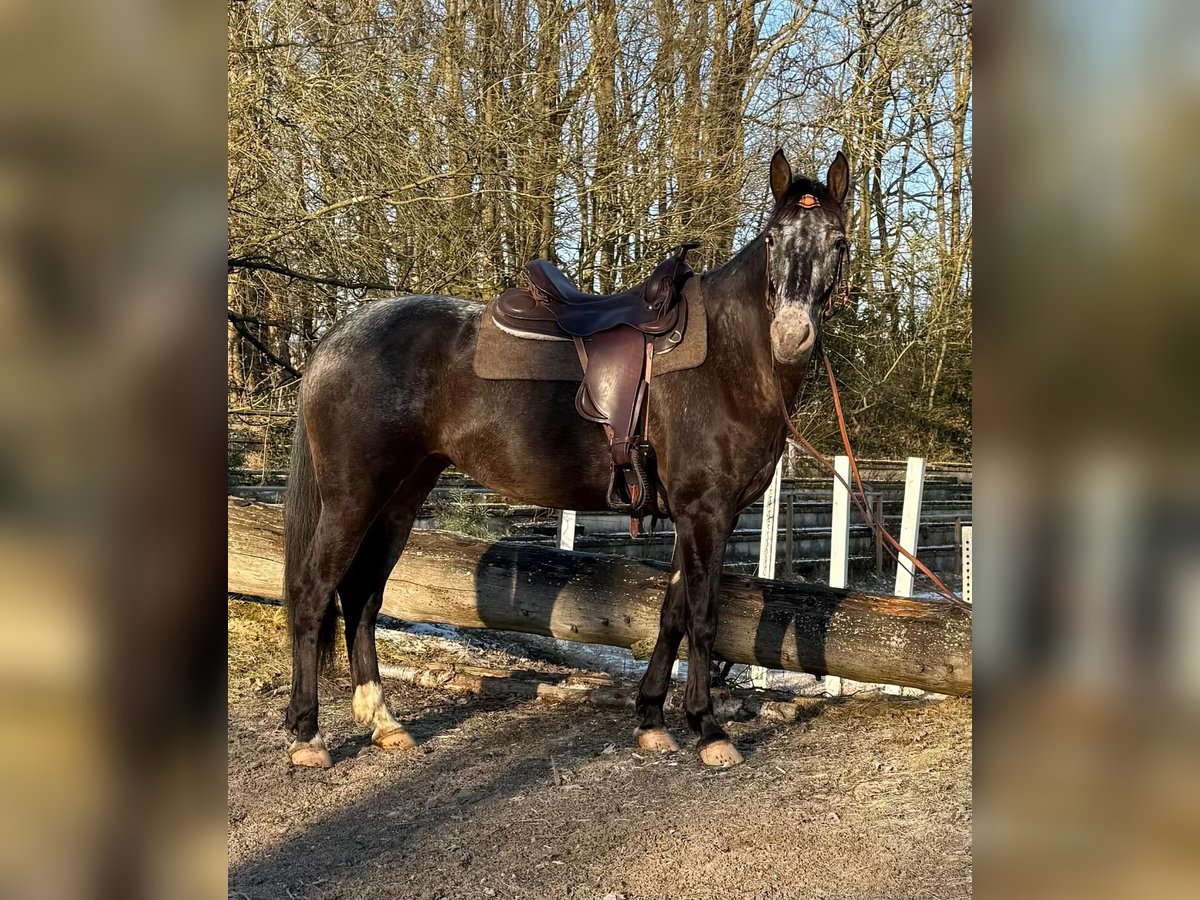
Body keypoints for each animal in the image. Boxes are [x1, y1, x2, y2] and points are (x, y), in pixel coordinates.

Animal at [282, 148, 849, 768]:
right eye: (773, 239)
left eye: (839, 241)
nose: (791, 336)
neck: (727, 361)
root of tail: (339, 335)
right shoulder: (707, 512)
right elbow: (702, 618)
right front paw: (708, 728)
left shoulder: (691, 516)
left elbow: (672, 615)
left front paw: (652, 719)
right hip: (352, 497)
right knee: (313, 591)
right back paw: (308, 734)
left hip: (400, 499)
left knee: (363, 596)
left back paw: (384, 722)